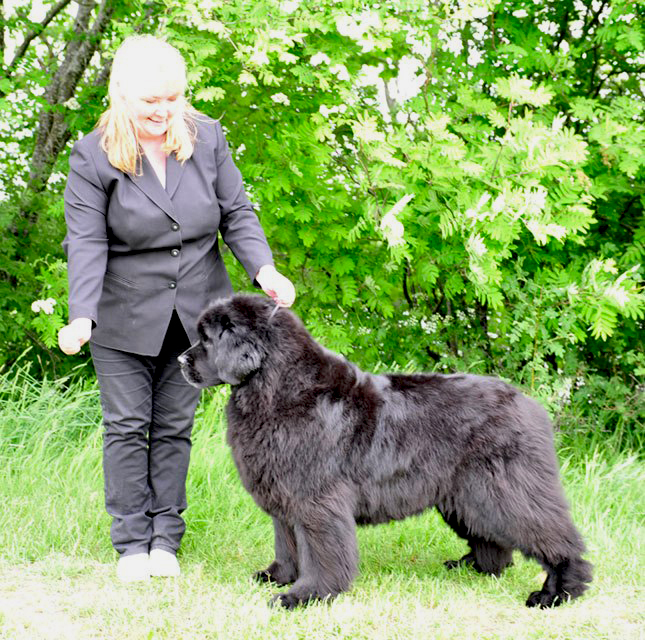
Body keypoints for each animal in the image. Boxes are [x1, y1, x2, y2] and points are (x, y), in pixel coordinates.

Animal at [179, 294, 592, 609]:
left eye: (208, 339)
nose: (181, 360)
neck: (279, 388)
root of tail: (530, 404)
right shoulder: (285, 495)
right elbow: (287, 544)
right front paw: (277, 577)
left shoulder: (316, 500)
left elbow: (320, 553)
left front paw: (306, 595)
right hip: (466, 495)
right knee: (491, 537)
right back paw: (473, 566)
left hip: (506, 489)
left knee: (552, 536)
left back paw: (557, 592)